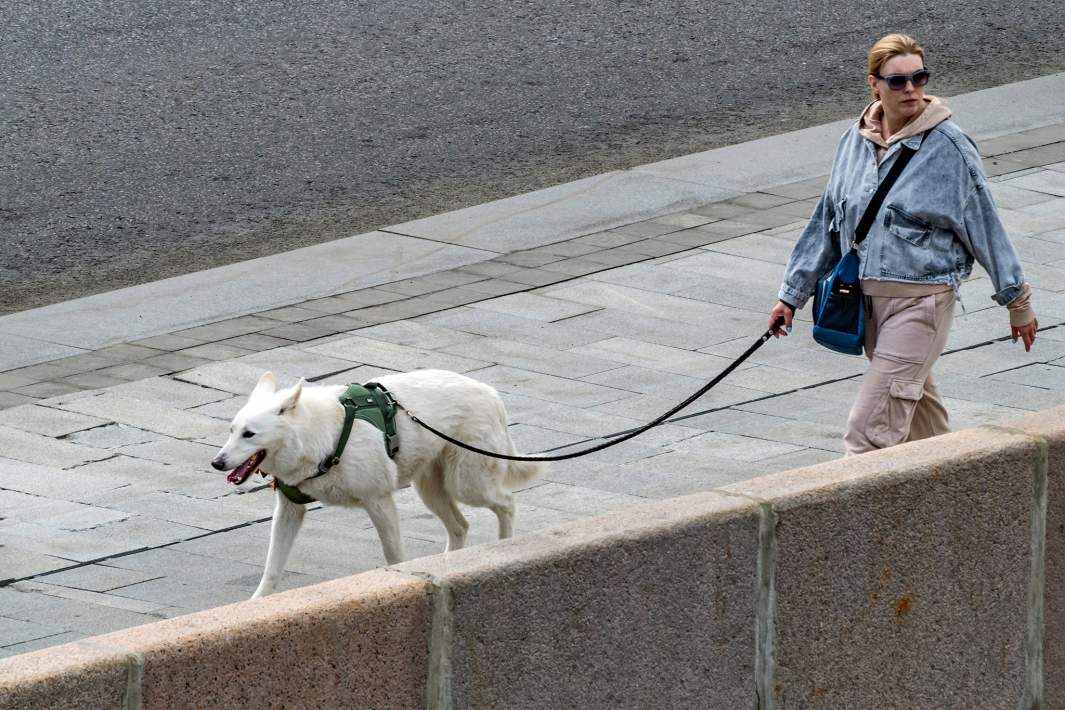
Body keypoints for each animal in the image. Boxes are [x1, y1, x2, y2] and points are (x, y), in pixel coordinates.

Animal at [208, 370, 545, 596]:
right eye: (231, 430)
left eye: (249, 434)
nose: (217, 463)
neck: (317, 436)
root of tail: (492, 394)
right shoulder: (289, 510)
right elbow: (272, 569)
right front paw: (256, 604)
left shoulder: (379, 501)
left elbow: (393, 555)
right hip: (431, 490)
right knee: (461, 526)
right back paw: (452, 563)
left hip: (468, 483)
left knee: (506, 503)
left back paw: (503, 544)